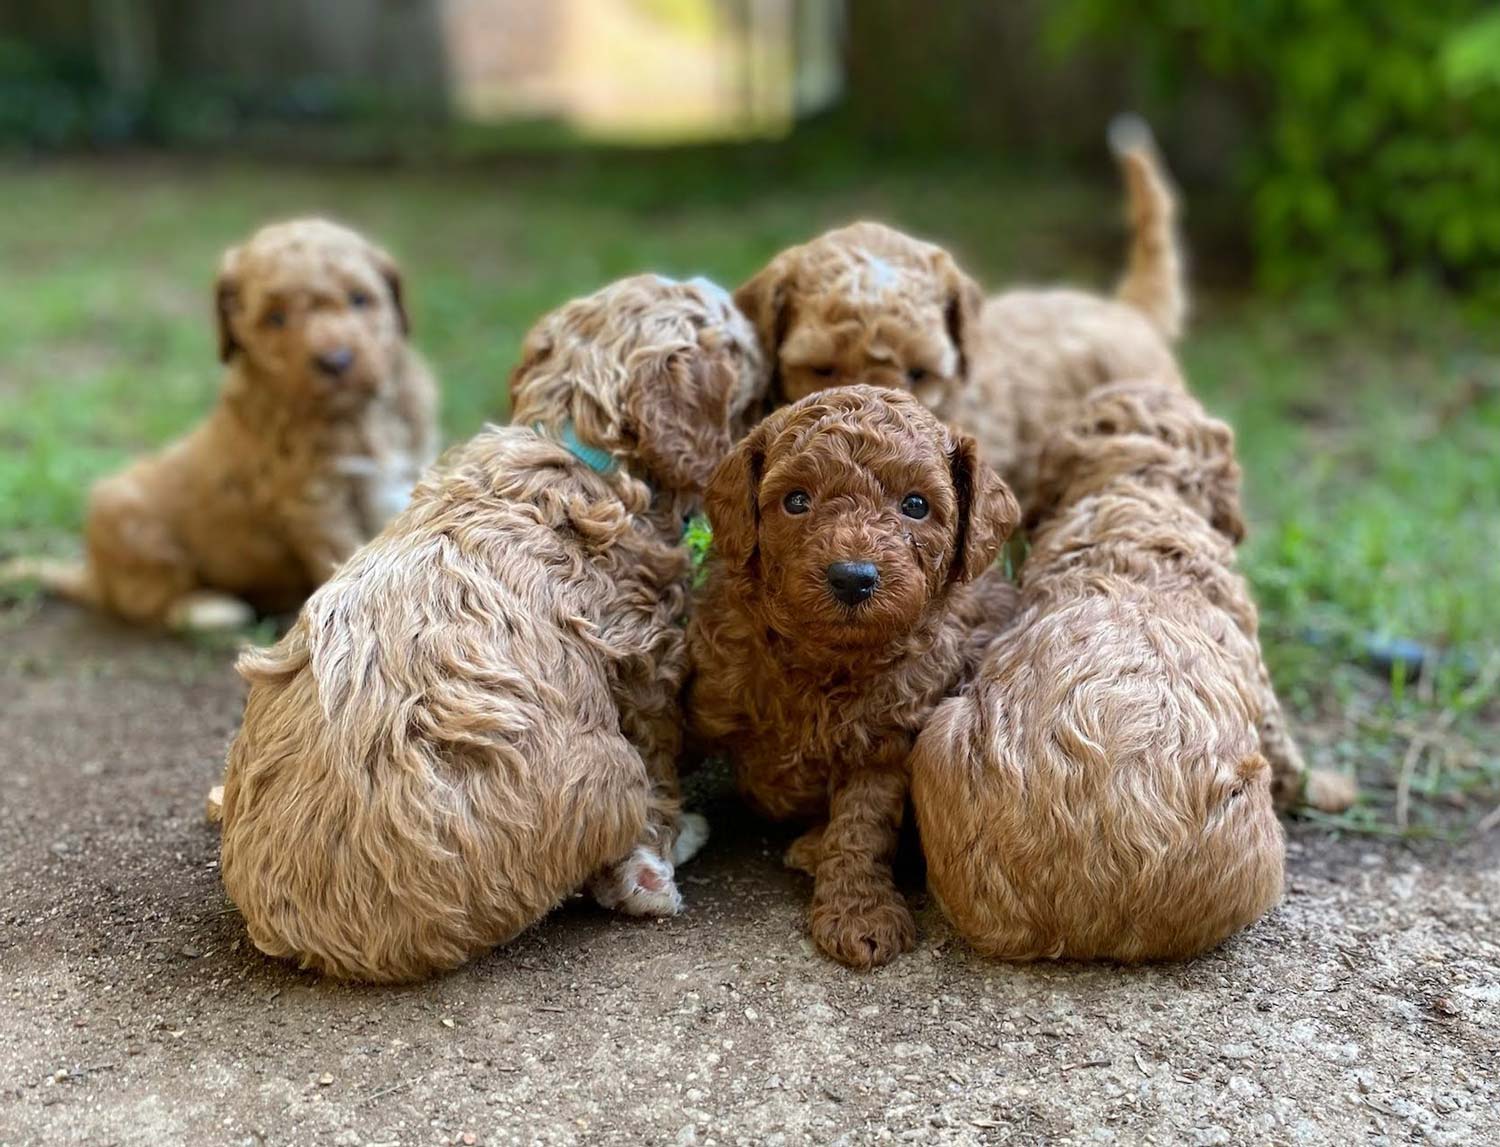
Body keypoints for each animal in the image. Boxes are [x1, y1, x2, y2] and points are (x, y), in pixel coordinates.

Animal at [217, 272, 768, 977]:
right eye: (732, 332)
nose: (736, 296)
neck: (574, 440)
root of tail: (315, 940)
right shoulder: (646, 655)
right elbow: (661, 757)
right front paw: (669, 840)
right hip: (607, 768)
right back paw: (655, 870)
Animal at [687, 383, 1020, 965]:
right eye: (796, 501)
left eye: (916, 506)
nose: (853, 577)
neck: (823, 661)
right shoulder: (710, 682)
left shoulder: (886, 742)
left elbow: (861, 829)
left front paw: (858, 914)